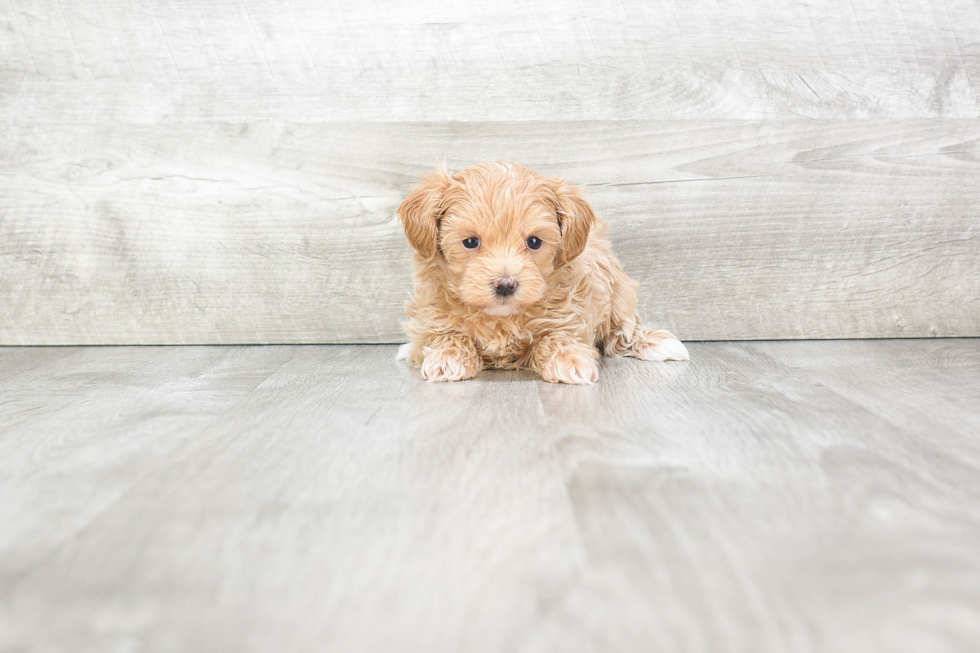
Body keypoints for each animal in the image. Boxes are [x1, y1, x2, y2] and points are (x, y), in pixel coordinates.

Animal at [394, 161, 684, 384]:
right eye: (470, 242)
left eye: (534, 242)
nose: (505, 284)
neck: (501, 319)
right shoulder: (432, 312)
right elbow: (445, 333)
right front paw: (447, 357)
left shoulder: (569, 313)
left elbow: (558, 336)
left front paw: (569, 360)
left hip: (619, 294)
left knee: (623, 330)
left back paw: (655, 343)